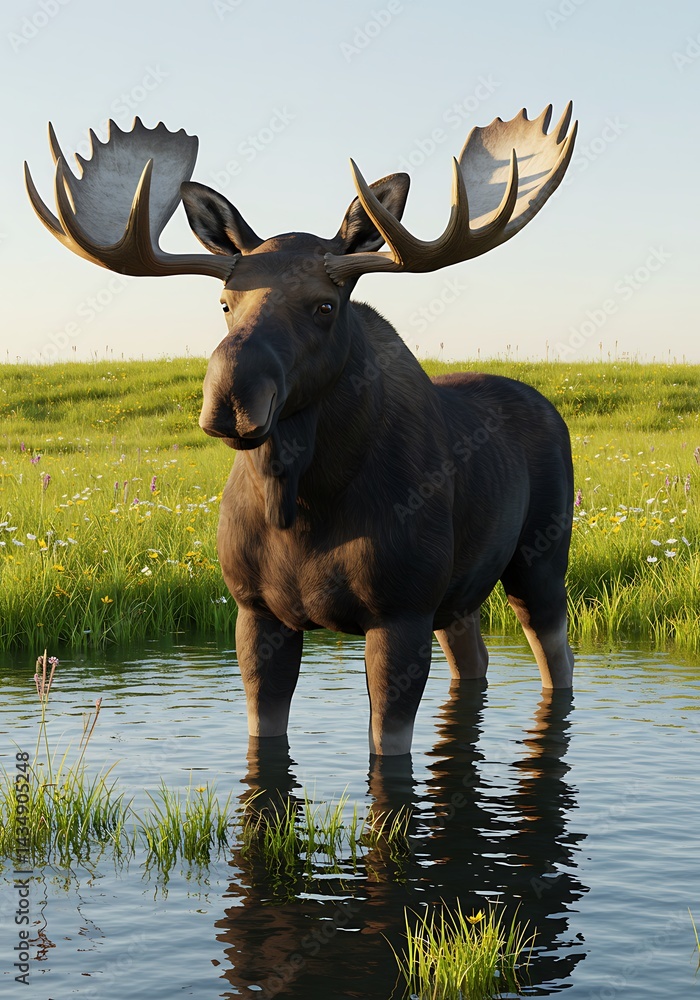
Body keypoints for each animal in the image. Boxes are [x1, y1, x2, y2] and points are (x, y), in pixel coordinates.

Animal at [25, 103, 577, 755]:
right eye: (224, 302)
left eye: (324, 305)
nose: (230, 399)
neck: (299, 501)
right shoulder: (256, 611)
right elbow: (265, 739)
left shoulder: (401, 611)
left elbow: (387, 753)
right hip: (459, 595)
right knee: (476, 660)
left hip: (540, 563)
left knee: (558, 661)